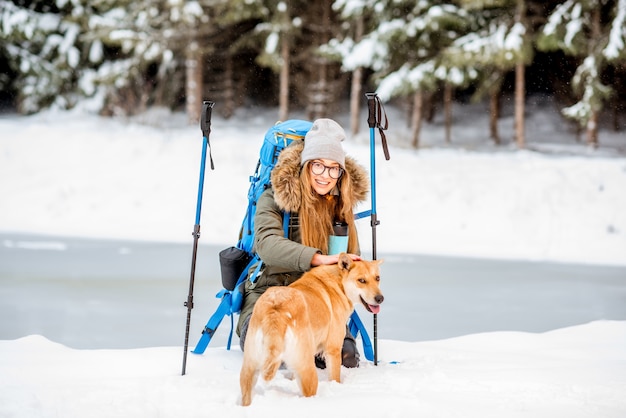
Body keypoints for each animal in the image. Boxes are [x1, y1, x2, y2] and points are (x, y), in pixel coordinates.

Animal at [238, 253, 380, 406]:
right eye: (362, 280)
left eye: (377, 278)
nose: (380, 298)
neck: (338, 284)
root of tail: (276, 310)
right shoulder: (333, 349)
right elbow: (335, 377)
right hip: (308, 368)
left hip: (249, 369)